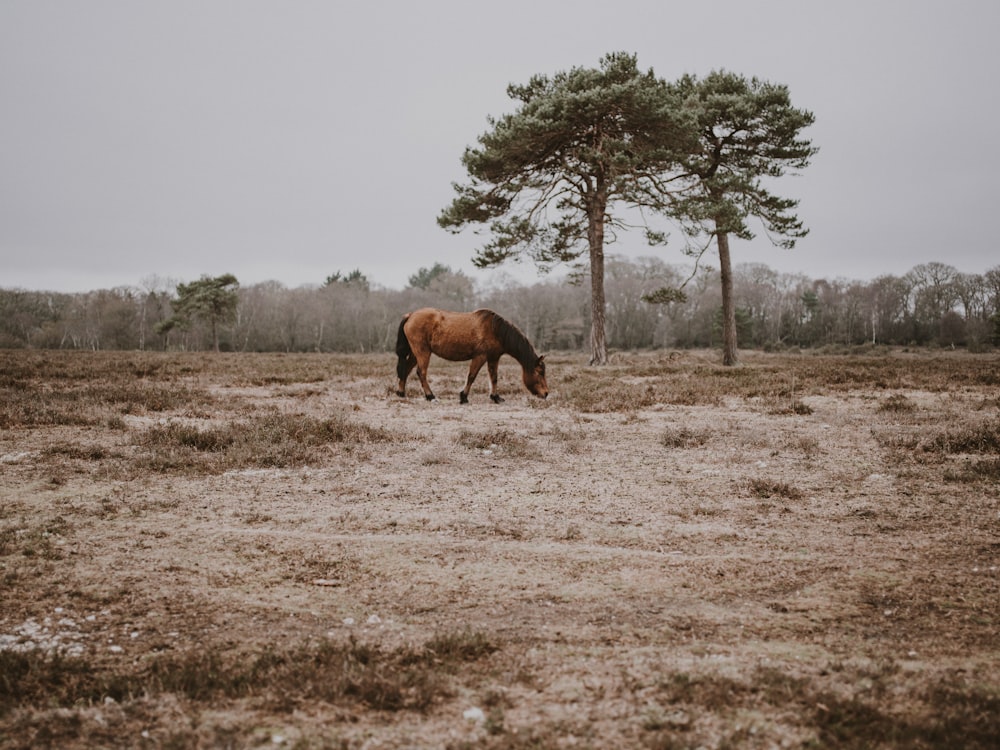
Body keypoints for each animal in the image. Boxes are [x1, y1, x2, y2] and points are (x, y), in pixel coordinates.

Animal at [394, 308, 548, 406]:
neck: (495, 330)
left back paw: (401, 393)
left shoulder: (493, 357)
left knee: (406, 370)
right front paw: (464, 397)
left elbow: (494, 377)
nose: (546, 393)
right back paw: (430, 396)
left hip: (415, 354)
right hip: (423, 352)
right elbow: (472, 376)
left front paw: (496, 397)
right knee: (421, 373)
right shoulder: (480, 356)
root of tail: (410, 315)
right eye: (539, 373)